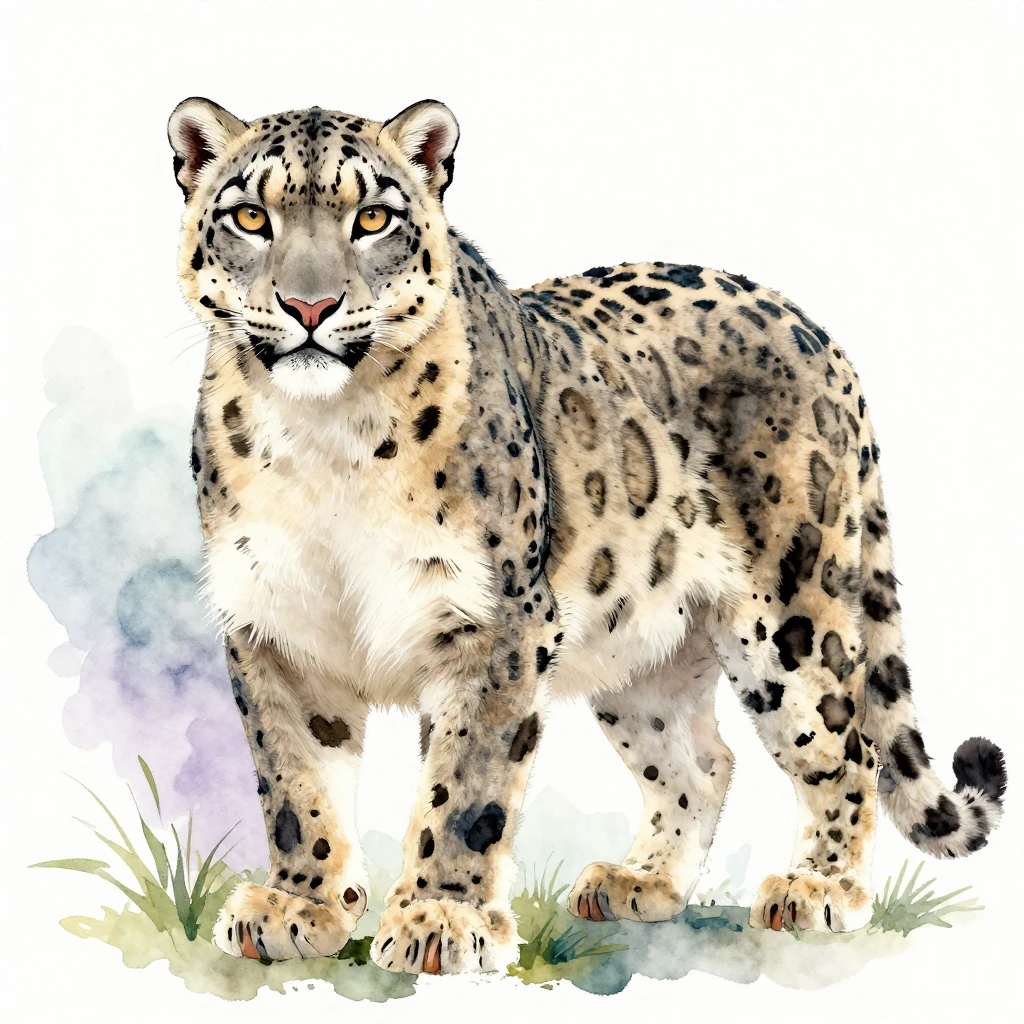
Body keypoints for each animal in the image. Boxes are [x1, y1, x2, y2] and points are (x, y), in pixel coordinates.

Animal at [167, 96, 1007, 974]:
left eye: (372, 217)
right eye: (251, 216)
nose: (309, 307)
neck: (323, 438)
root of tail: (810, 327)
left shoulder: (495, 623)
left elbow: (465, 782)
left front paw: (440, 918)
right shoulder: (276, 623)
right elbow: (295, 780)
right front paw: (302, 908)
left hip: (795, 617)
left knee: (846, 747)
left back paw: (819, 888)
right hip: (638, 645)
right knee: (703, 762)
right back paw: (641, 882)